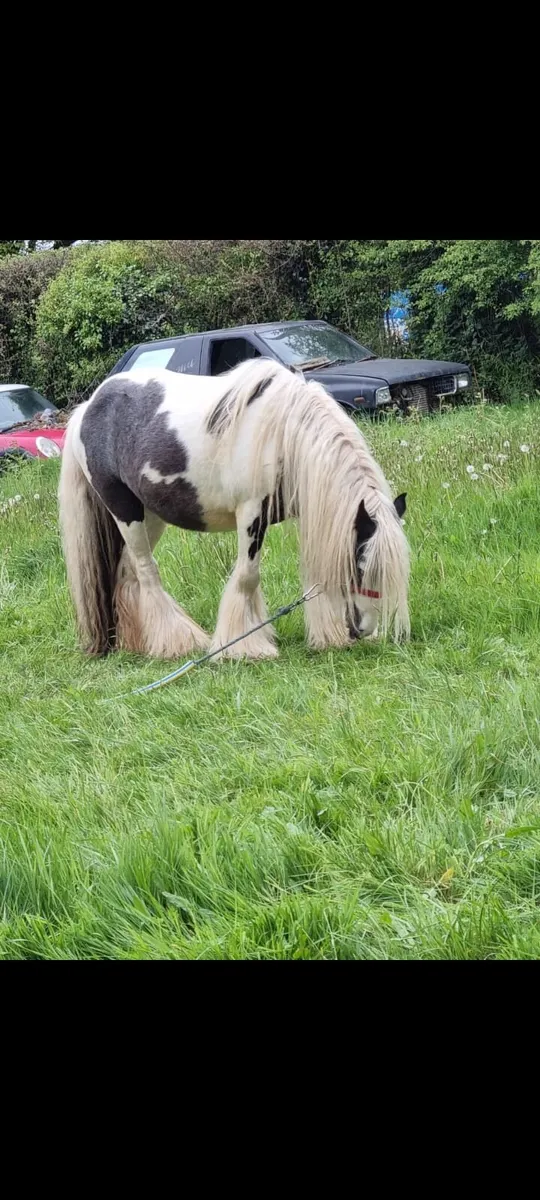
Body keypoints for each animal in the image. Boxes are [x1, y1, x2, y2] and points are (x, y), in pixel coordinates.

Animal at [58, 357, 410, 661]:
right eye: (361, 563)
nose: (363, 630)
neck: (284, 433)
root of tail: (87, 409)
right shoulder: (251, 514)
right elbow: (247, 577)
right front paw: (244, 647)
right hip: (125, 511)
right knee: (147, 572)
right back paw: (177, 643)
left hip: (151, 515)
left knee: (128, 572)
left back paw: (138, 643)